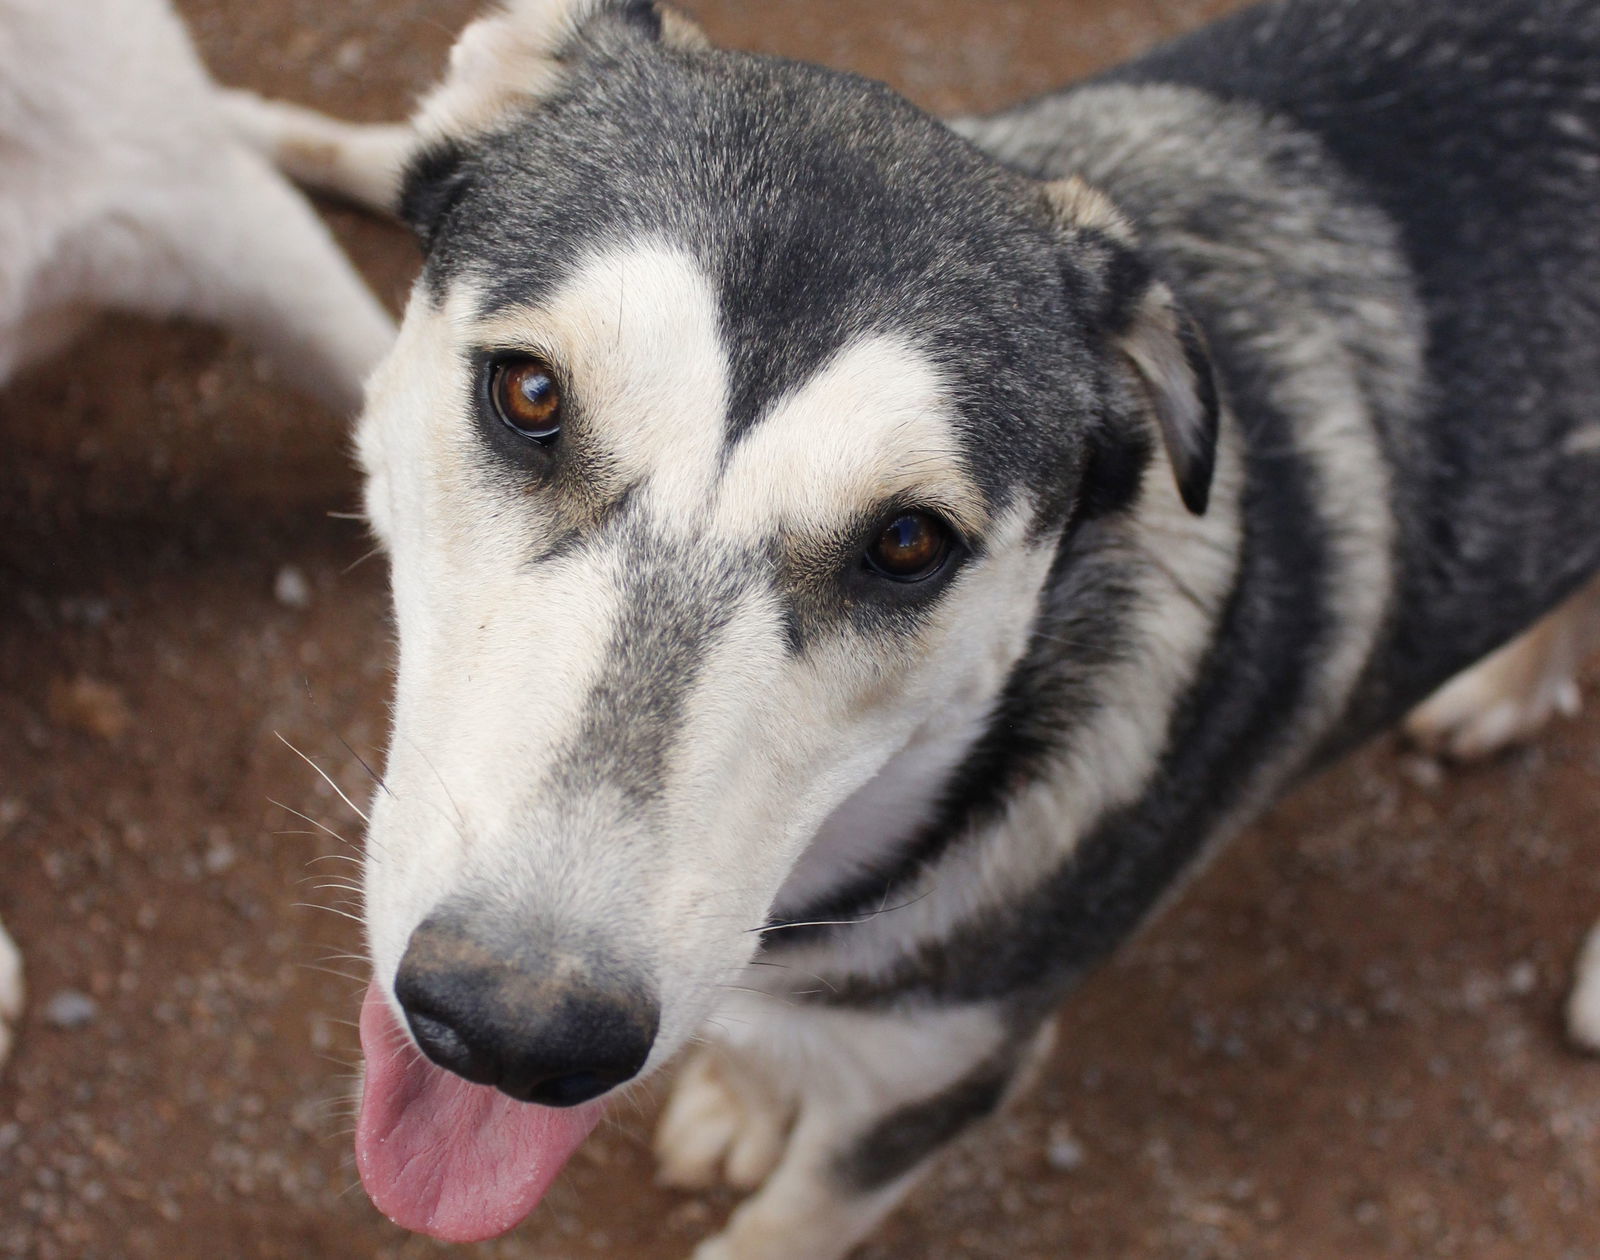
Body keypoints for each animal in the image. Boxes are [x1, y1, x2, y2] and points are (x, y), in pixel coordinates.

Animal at [236, 0, 1600, 1253]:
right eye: (528, 393)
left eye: (907, 543)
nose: (515, 1025)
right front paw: (742, 1097)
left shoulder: (939, 1078)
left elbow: (794, 1224)